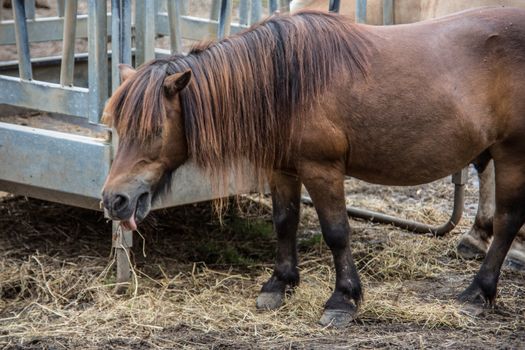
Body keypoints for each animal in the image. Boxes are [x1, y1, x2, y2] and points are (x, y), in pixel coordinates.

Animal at [101, 8, 524, 326]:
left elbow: (336, 232)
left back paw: (477, 292)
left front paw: (343, 300)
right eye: (118, 125)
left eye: (155, 130)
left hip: (512, 154)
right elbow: (284, 223)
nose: (113, 200)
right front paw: (279, 284)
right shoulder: (282, 169)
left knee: (507, 222)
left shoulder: (322, 169)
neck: (287, 83)